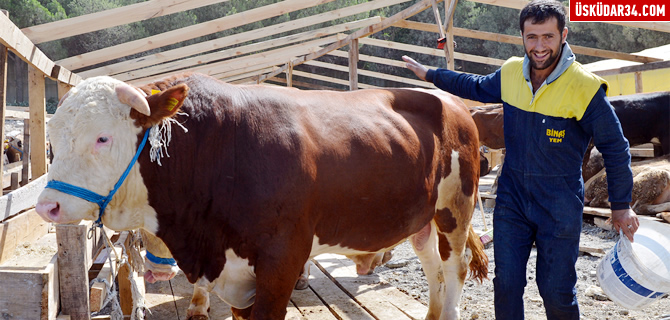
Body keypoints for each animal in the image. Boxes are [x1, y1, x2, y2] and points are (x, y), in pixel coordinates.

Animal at [35, 73, 488, 320]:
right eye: (53, 139)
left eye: (102, 137)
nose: (47, 205)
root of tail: (452, 102)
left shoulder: (282, 258)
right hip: (422, 219)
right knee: (432, 266)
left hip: (456, 208)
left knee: (455, 269)